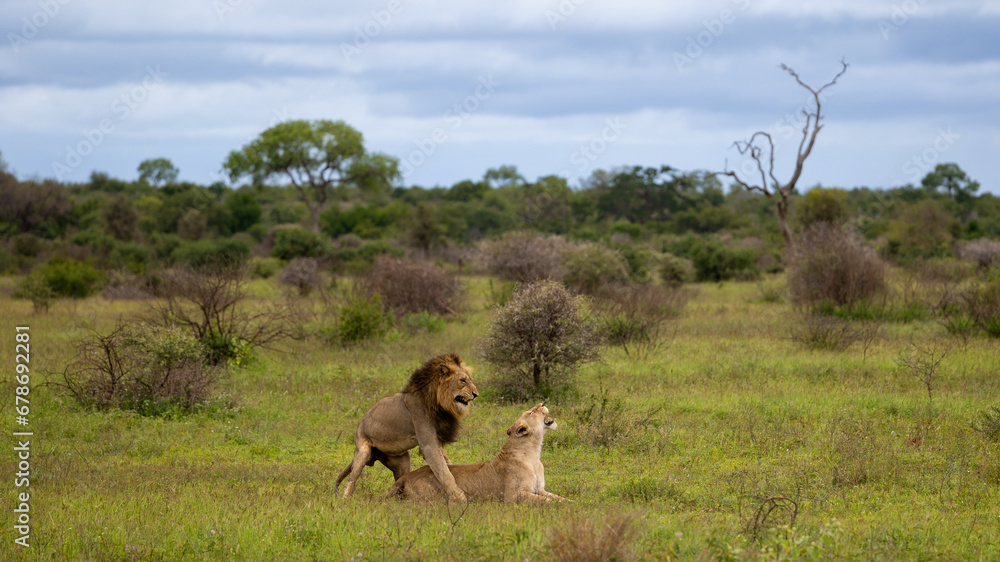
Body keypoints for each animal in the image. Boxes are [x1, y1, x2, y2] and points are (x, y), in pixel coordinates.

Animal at [335, 354, 478, 501]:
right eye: (463, 381)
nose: (475, 394)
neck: (439, 403)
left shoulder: (436, 441)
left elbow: (447, 464)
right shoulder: (428, 445)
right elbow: (444, 472)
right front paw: (459, 497)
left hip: (402, 461)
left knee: (400, 480)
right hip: (362, 450)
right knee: (351, 480)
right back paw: (346, 500)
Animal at [382, 403, 567, 503]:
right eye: (530, 412)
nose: (542, 403)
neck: (535, 453)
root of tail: (407, 476)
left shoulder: (540, 489)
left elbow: (558, 497)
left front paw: (570, 502)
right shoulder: (513, 496)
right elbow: (546, 501)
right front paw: (558, 506)